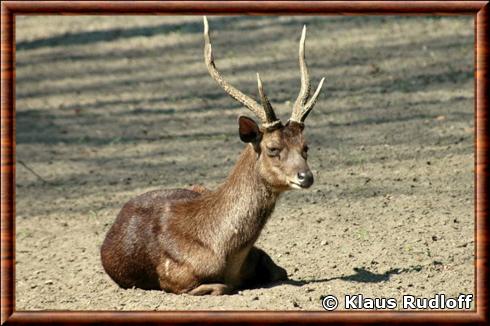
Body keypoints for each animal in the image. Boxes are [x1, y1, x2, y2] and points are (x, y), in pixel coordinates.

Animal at [100, 17, 326, 296]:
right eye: (273, 148)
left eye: (306, 146)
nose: (306, 176)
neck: (226, 254)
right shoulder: (175, 279)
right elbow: (222, 287)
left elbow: (280, 272)